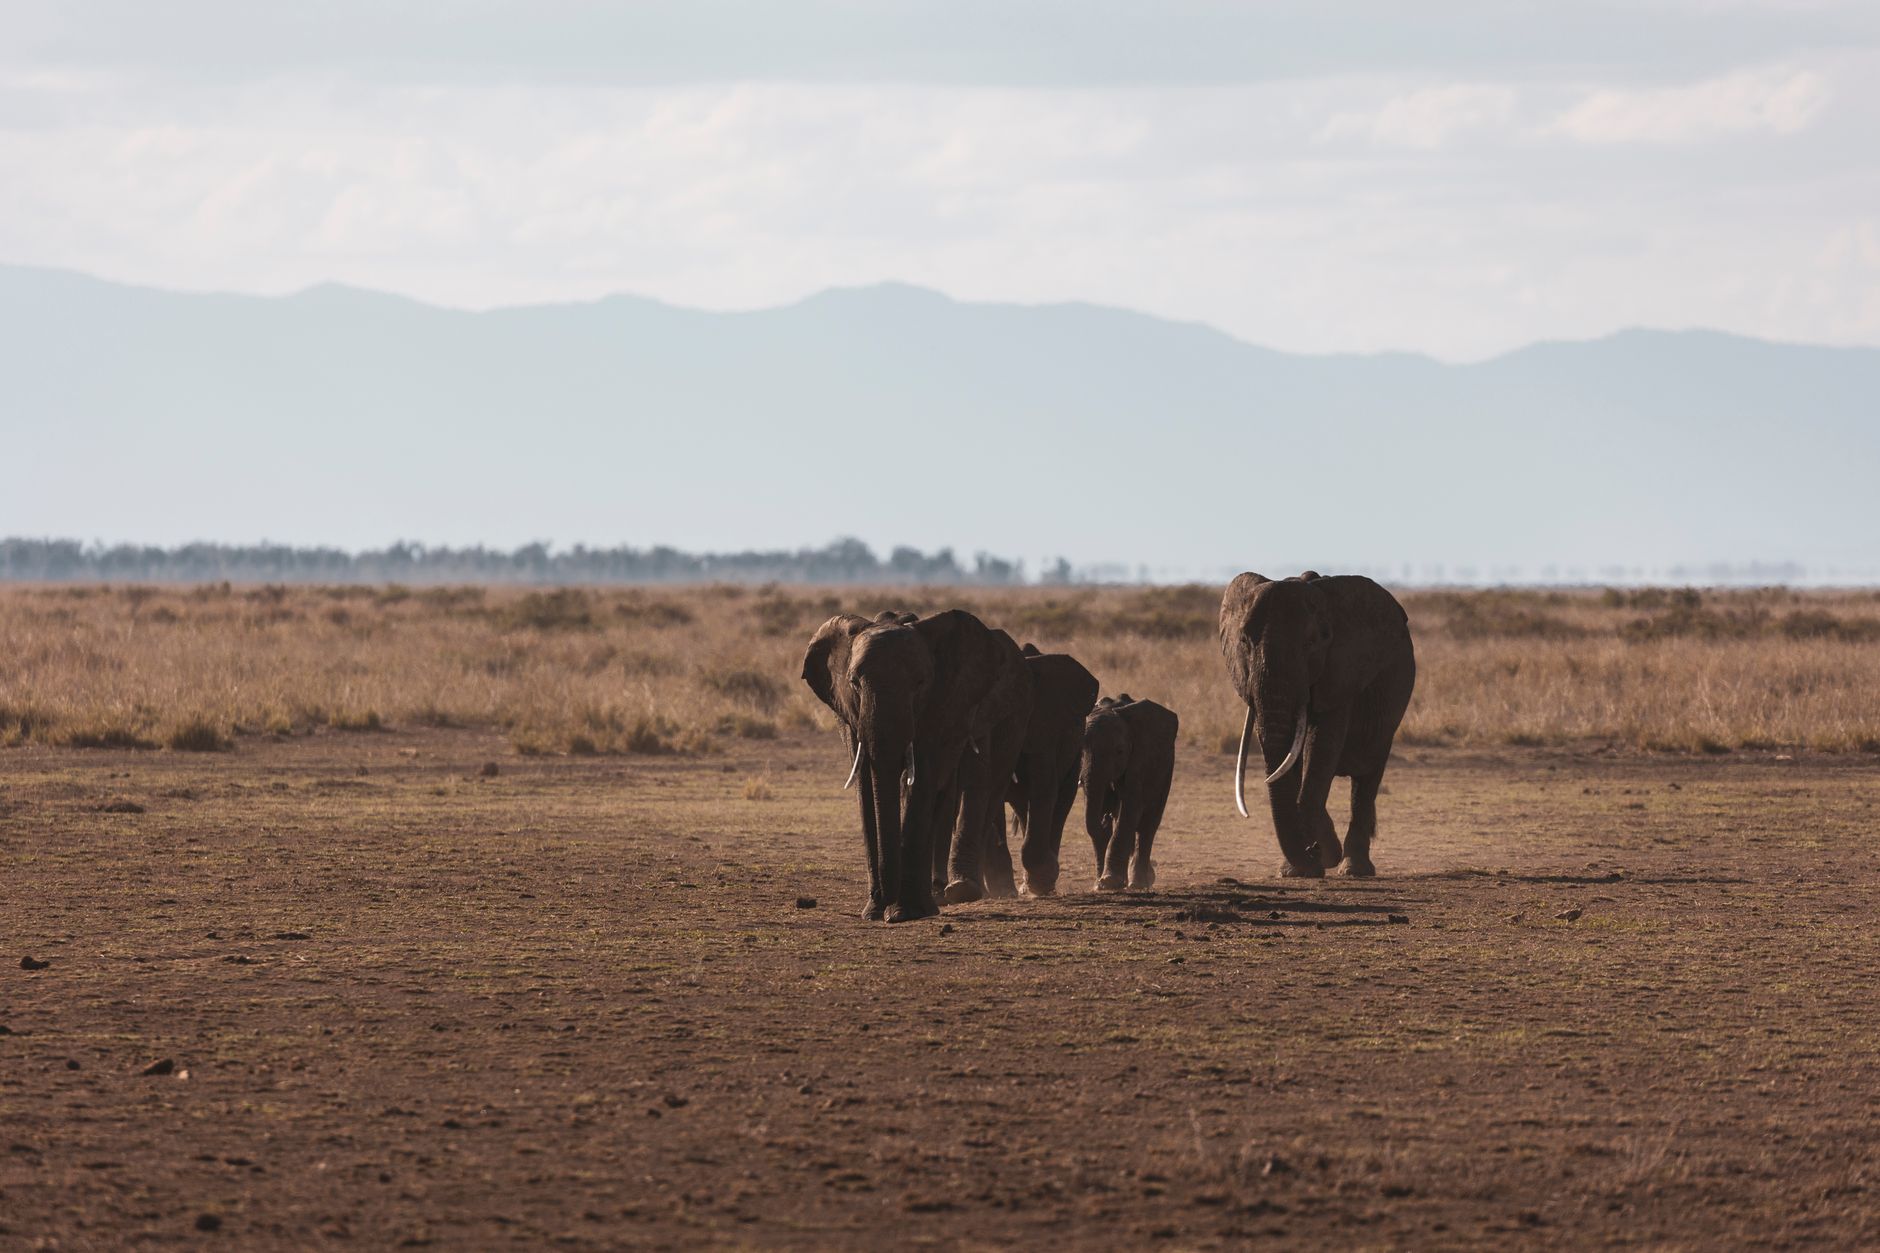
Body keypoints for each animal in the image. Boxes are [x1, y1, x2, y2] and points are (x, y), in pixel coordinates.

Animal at [801, 608, 1029, 921]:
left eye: (920, 684)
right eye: (854, 683)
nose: (883, 904)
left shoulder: (942, 706)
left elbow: (921, 780)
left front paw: (904, 913)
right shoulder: (849, 714)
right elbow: (865, 784)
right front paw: (873, 912)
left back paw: (941, 898)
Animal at [1000, 644, 1100, 897]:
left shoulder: (1046, 728)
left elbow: (1045, 789)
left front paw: (1044, 878)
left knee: (1059, 801)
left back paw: (1042, 883)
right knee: (1022, 804)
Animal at [1080, 695, 1179, 891]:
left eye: (1120, 751)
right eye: (1080, 750)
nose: (1105, 818)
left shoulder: (1139, 759)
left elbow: (1131, 807)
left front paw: (1109, 882)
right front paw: (1100, 885)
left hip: (1166, 769)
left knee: (1148, 825)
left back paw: (1139, 884)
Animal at [1218, 571, 1416, 878]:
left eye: (1311, 644)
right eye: (1244, 641)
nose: (1314, 852)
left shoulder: (1342, 673)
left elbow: (1321, 745)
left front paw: (1320, 856)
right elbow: (1290, 757)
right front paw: (1296, 869)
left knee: (1367, 778)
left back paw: (1354, 869)